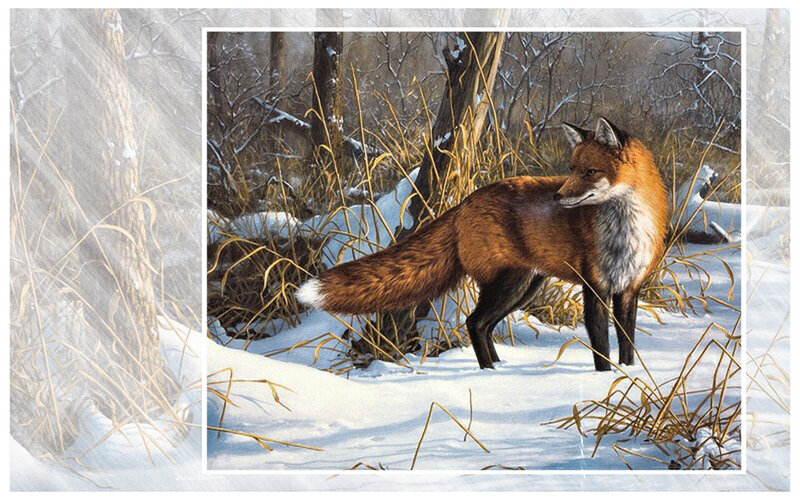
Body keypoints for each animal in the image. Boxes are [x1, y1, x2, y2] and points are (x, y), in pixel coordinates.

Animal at [297, 117, 668, 371]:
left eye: (590, 171)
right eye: (572, 169)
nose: (558, 197)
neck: (626, 231)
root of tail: (465, 201)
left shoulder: (629, 289)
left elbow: (627, 343)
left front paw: (629, 375)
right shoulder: (594, 287)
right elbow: (601, 346)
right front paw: (606, 379)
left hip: (525, 287)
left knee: (484, 325)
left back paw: (499, 368)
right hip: (508, 283)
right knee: (474, 323)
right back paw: (489, 372)